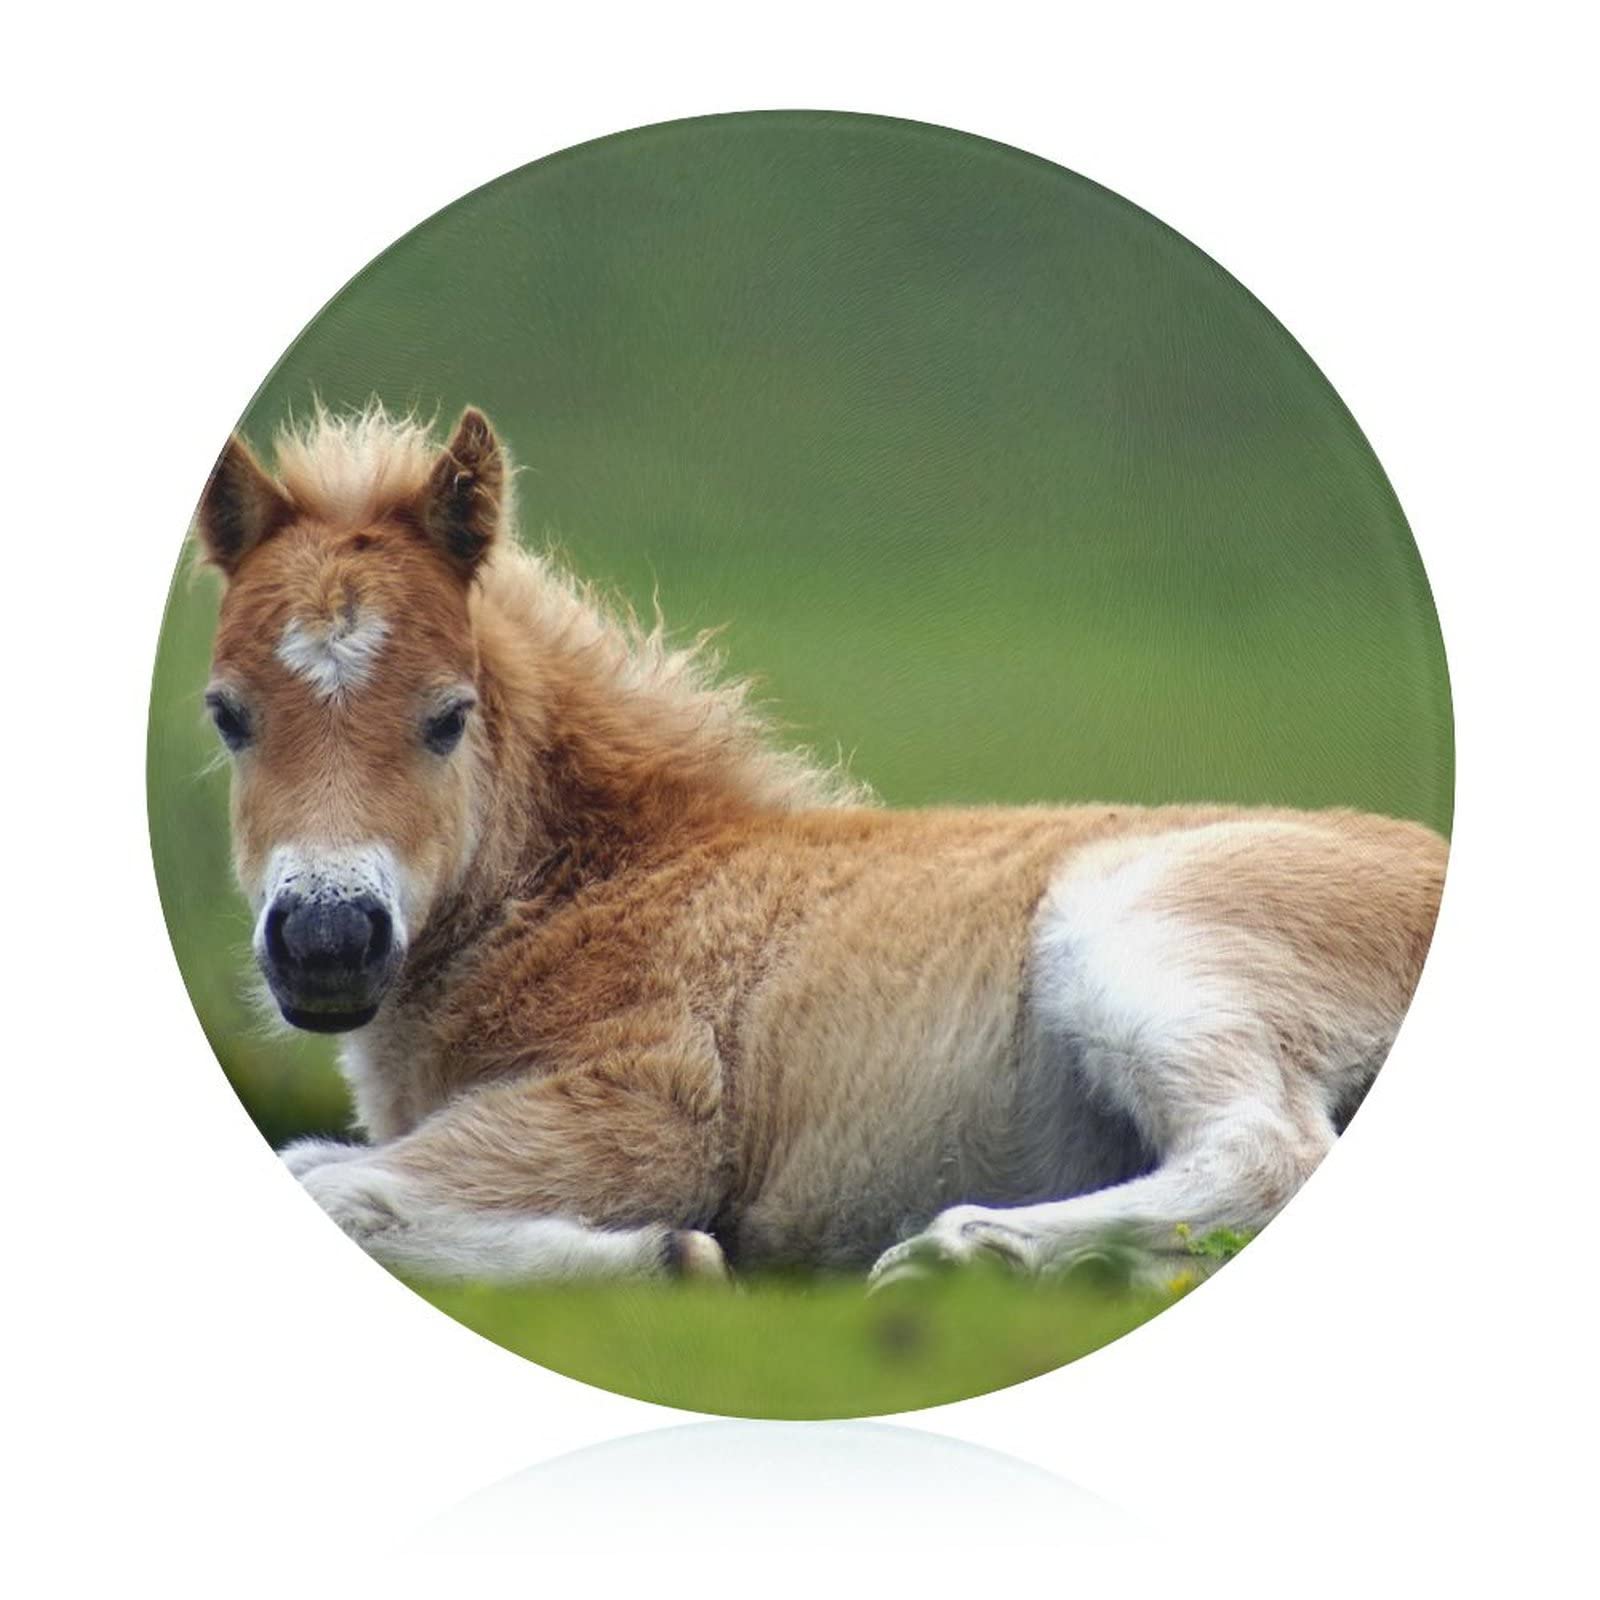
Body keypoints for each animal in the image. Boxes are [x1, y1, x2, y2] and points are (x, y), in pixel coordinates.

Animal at [191, 402, 1447, 1288]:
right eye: (227, 714)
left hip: (1144, 934)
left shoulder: (644, 1106)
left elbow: (332, 1186)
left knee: (1265, 1150)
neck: (609, 880)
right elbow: (330, 1175)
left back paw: (961, 1252)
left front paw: (670, 1258)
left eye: (448, 716)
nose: (326, 940)